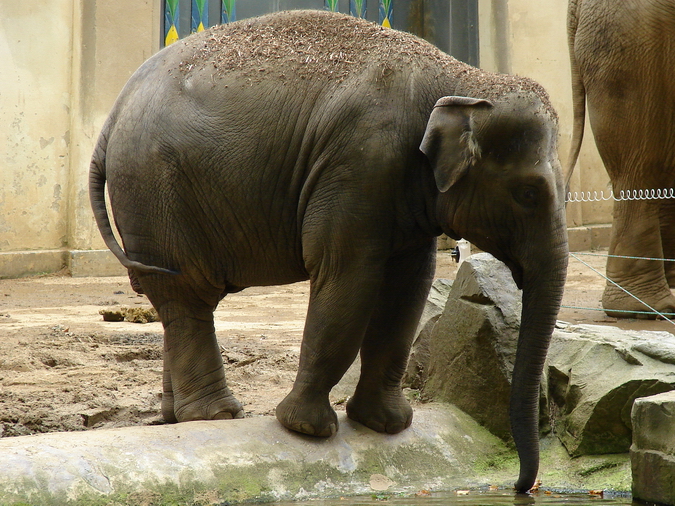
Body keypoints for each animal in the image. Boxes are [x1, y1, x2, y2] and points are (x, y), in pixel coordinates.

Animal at [89, 10, 568, 493]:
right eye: (528, 194)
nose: (520, 487)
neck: (463, 80)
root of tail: (114, 114)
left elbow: (407, 289)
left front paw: (386, 424)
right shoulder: (359, 162)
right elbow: (347, 278)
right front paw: (306, 429)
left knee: (176, 306)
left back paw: (177, 419)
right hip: (154, 191)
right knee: (187, 295)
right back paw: (217, 416)